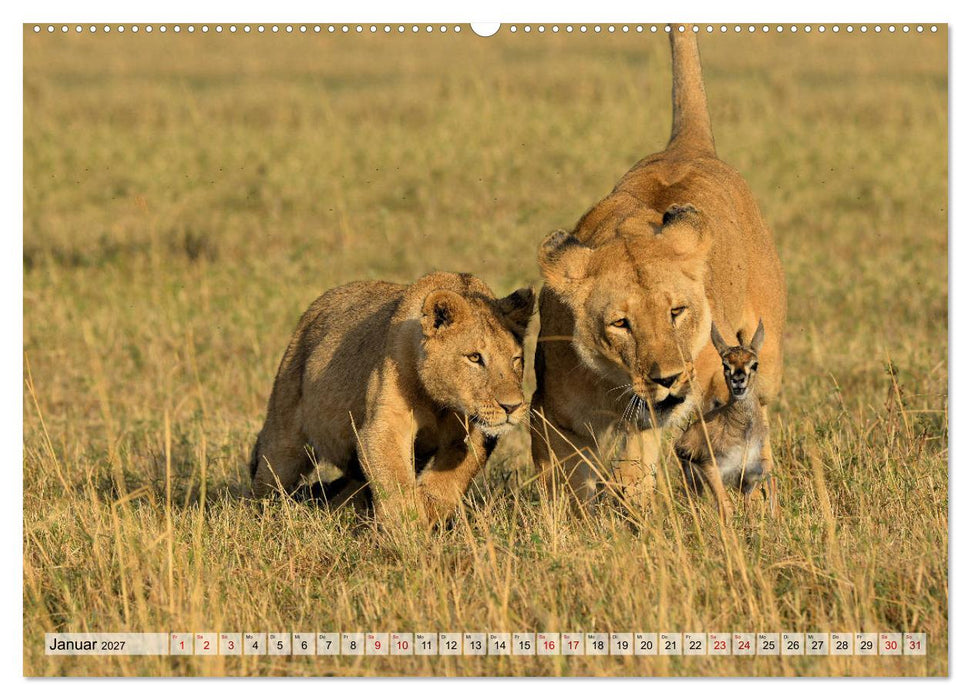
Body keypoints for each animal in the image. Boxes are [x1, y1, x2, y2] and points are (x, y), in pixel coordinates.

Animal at [250, 271, 534, 527]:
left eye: (516, 359)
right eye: (474, 357)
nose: (512, 406)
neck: (439, 404)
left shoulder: (473, 433)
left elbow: (453, 478)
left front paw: (428, 508)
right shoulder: (386, 425)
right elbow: (394, 479)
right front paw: (409, 529)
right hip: (285, 435)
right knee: (268, 478)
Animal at [530, 29, 787, 510]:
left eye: (676, 312)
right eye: (620, 323)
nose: (667, 380)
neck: (611, 385)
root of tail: (688, 146)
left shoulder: (658, 411)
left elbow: (637, 460)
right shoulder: (552, 415)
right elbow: (564, 487)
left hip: (767, 363)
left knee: (758, 417)